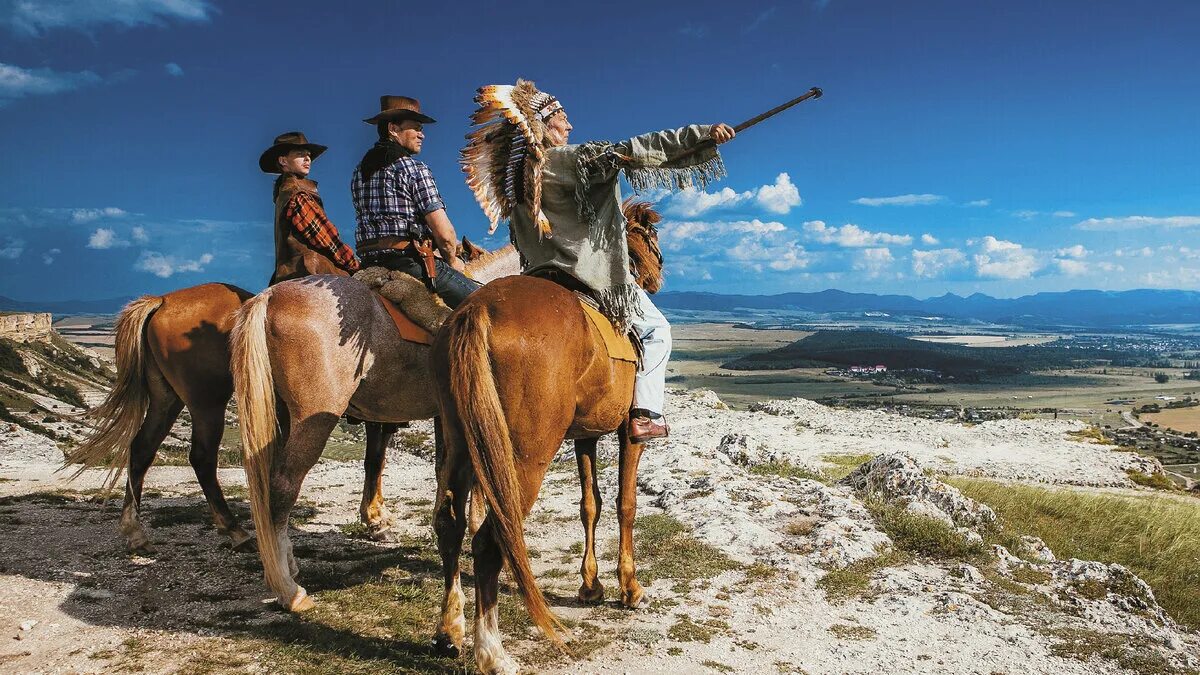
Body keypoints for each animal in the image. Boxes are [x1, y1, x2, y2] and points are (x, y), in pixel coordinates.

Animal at [59, 239, 492, 550]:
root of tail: (162, 300)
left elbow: (378, 461)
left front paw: (378, 519)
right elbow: (410, 463)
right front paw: (384, 521)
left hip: (168, 400)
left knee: (142, 450)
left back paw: (136, 530)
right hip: (208, 404)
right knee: (201, 457)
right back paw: (235, 530)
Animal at [427, 198, 667, 667]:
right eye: (649, 238)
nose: (658, 271)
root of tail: (477, 310)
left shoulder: (586, 435)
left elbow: (590, 505)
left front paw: (591, 586)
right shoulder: (628, 434)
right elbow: (625, 504)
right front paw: (629, 588)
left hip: (458, 442)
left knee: (450, 524)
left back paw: (449, 631)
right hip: (523, 458)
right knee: (490, 541)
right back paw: (492, 653)